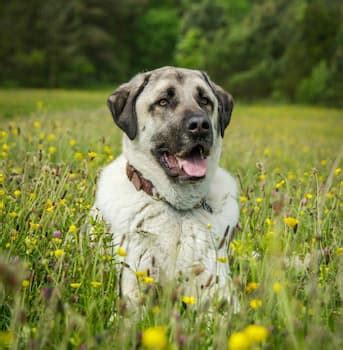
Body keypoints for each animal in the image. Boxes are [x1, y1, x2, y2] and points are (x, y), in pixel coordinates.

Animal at [92, 67, 241, 308]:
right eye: (163, 102)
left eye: (205, 101)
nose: (200, 126)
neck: (178, 209)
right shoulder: (135, 283)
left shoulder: (216, 286)